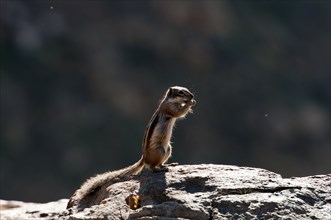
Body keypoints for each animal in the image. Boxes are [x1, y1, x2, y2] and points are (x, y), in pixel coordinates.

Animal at [67, 85, 197, 210]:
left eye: (186, 90)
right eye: (181, 92)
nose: (192, 95)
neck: (170, 101)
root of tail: (144, 158)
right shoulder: (169, 108)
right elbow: (179, 113)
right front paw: (191, 103)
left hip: (168, 148)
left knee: (158, 163)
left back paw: (168, 165)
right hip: (160, 150)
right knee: (151, 167)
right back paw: (159, 169)